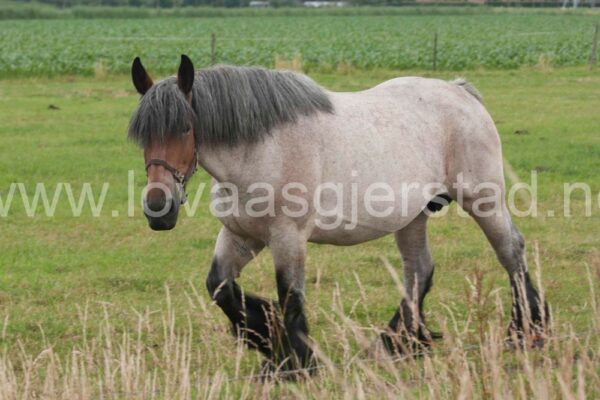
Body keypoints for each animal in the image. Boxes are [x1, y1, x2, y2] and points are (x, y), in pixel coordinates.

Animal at [126, 54, 548, 374]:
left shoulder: (288, 237)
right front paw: (268, 340)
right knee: (419, 270)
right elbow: (220, 288)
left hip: (484, 199)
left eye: (185, 128)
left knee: (511, 252)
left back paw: (527, 332)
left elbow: (290, 295)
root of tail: (461, 91)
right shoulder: (240, 235)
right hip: (412, 217)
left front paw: (295, 363)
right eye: (142, 135)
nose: (159, 209)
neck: (261, 150)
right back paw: (397, 345)